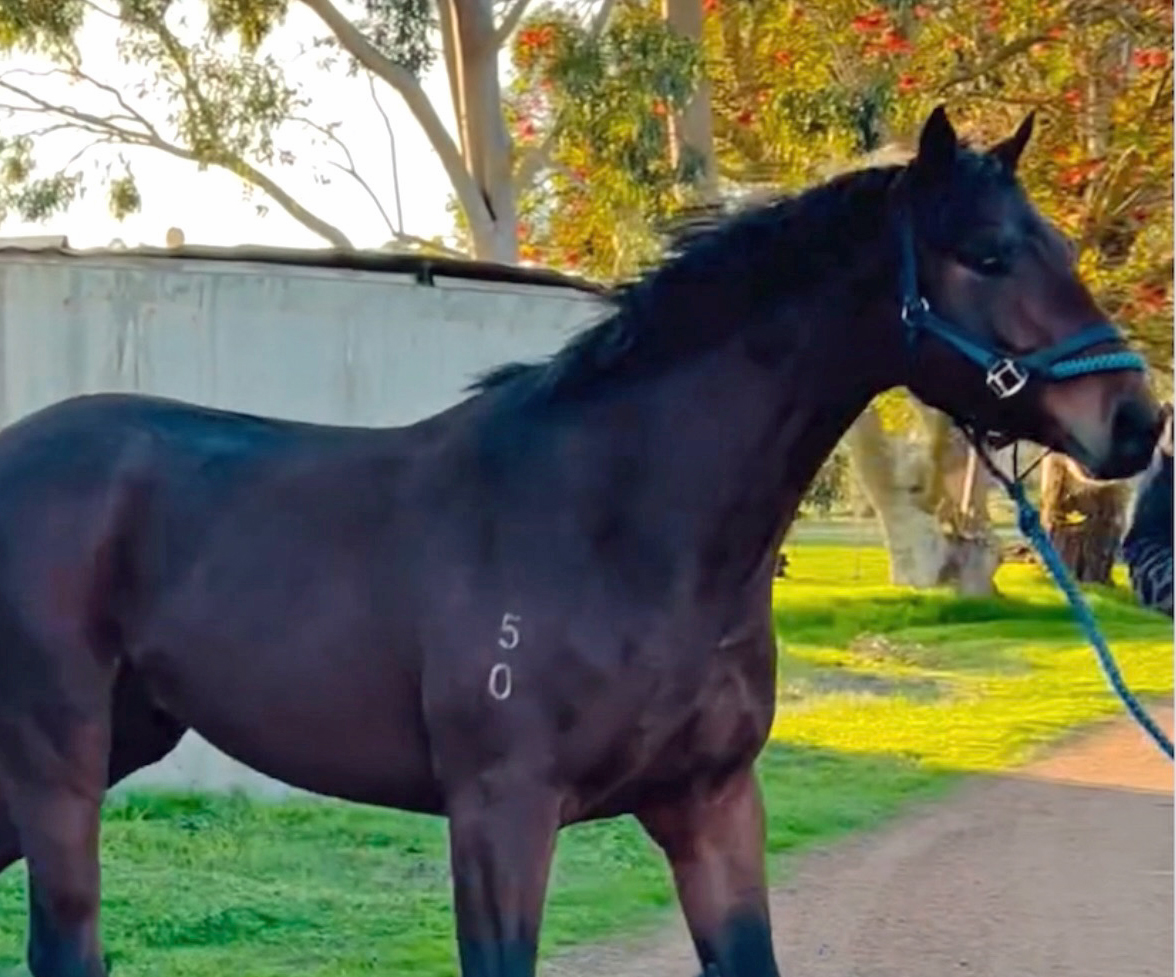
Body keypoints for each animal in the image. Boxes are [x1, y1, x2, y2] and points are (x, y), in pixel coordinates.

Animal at [0, 106, 1157, 977]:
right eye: (989, 255)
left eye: (1060, 246)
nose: (1135, 421)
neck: (621, 527)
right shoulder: (500, 817)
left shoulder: (713, 804)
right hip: (61, 767)